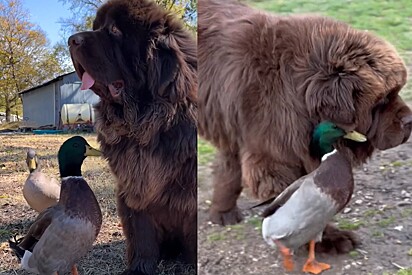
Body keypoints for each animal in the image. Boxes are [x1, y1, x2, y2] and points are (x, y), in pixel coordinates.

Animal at [68, 0, 197, 274]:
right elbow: (142, 234)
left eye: (115, 31)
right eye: (98, 27)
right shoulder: (134, 189)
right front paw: (140, 267)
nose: (71, 40)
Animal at [198, 0, 410, 254]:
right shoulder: (274, 156)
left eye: (397, 91)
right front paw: (331, 238)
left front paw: (222, 213)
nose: (410, 121)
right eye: (383, 99)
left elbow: (229, 172)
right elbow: (303, 204)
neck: (299, 91)